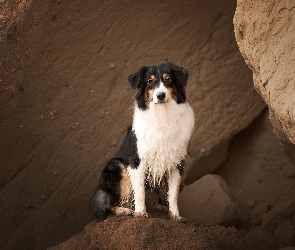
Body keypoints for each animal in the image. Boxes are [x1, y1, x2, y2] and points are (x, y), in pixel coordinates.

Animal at [89, 61, 195, 222]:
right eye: (150, 81)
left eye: (168, 79)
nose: (160, 95)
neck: (162, 115)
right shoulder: (137, 161)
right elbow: (139, 192)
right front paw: (140, 213)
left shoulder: (176, 163)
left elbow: (173, 194)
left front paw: (175, 216)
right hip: (118, 168)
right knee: (107, 203)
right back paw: (124, 210)